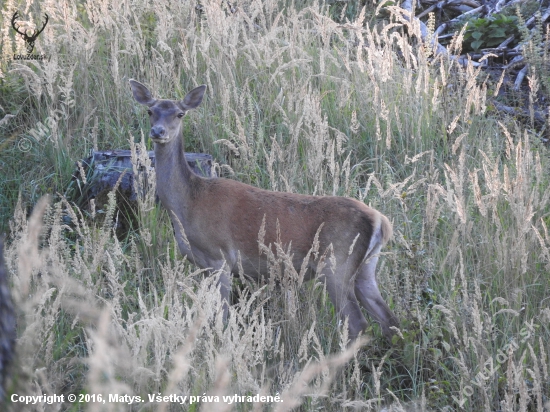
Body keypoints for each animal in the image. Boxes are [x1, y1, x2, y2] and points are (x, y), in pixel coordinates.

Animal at [129, 79, 398, 342]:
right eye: (150, 111)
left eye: (180, 113)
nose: (158, 132)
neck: (188, 204)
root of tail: (381, 221)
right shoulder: (204, 265)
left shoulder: (220, 257)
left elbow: (223, 316)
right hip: (365, 267)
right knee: (388, 318)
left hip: (336, 263)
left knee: (357, 323)